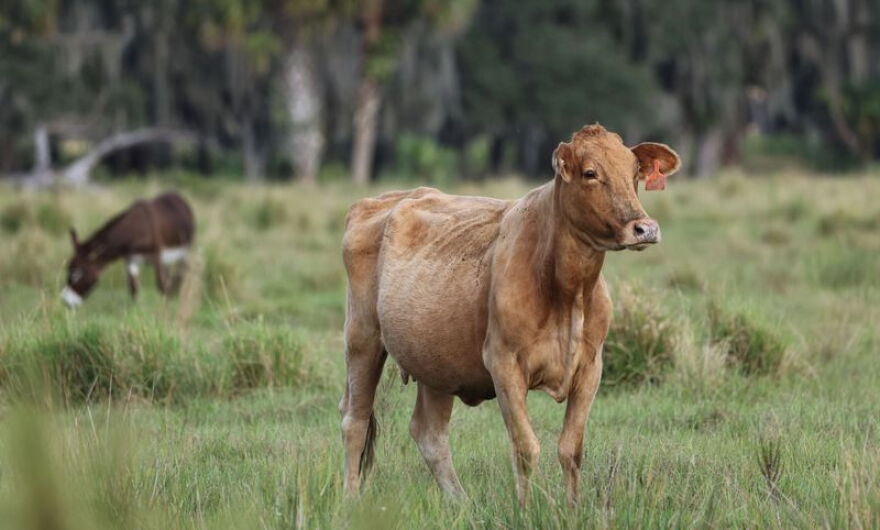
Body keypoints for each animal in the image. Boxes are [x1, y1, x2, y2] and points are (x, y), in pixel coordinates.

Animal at [61, 191, 195, 308]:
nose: (66, 302)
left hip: (185, 251)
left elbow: (161, 286)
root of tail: (177, 195)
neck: (136, 229)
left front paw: (166, 311)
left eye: (76, 273)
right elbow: (133, 289)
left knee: (181, 274)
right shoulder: (131, 260)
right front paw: (136, 312)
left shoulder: (156, 256)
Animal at [339, 124, 680, 505]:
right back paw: (351, 499)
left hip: (435, 361)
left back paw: (462, 504)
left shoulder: (591, 367)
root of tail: (383, 200)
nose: (645, 228)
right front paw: (526, 509)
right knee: (355, 420)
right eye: (590, 173)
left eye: (635, 172)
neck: (569, 293)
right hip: (362, 337)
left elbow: (571, 449)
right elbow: (525, 447)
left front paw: (574, 508)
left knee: (429, 433)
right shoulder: (504, 363)